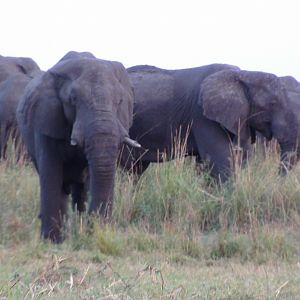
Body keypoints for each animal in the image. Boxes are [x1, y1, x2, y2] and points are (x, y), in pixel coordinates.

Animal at [15, 50, 139, 243]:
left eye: (119, 101)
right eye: (73, 100)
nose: (98, 230)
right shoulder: (46, 121)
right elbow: (51, 174)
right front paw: (52, 241)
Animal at [119, 63, 300, 180]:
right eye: (273, 104)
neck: (244, 74)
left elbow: (206, 165)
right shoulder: (201, 115)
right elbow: (220, 160)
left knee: (135, 169)